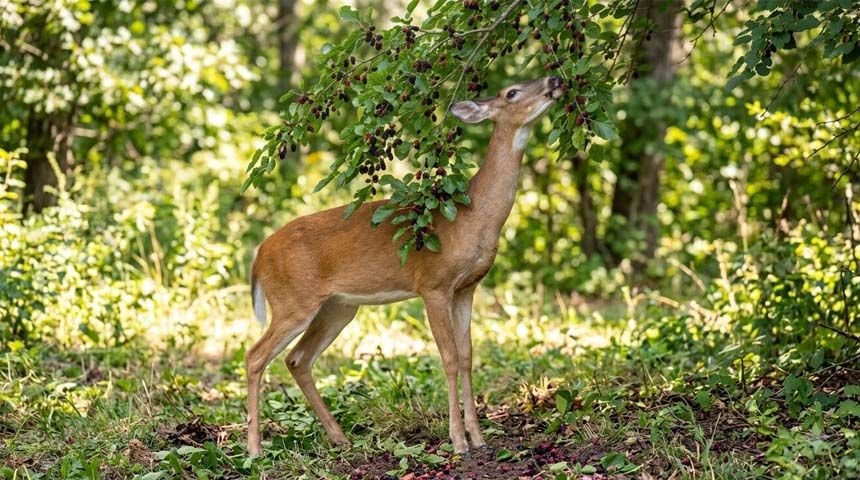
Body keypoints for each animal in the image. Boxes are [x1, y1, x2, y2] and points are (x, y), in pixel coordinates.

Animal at [246, 75, 565, 456]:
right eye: (512, 92)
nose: (555, 79)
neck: (473, 218)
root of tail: (259, 255)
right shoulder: (433, 284)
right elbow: (449, 358)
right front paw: (459, 441)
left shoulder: (467, 287)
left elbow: (468, 357)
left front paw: (479, 438)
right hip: (293, 299)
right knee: (254, 356)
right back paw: (255, 449)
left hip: (337, 307)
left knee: (298, 359)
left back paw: (340, 437)